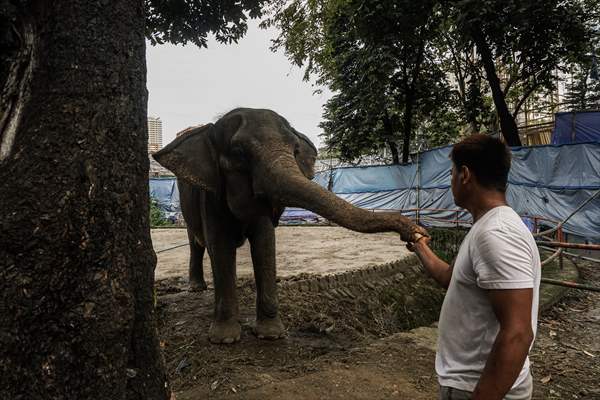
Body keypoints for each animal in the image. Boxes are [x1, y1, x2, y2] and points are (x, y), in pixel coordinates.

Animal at [154, 107, 426, 344]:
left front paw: (271, 335)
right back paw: (197, 288)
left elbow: (264, 243)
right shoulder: (211, 196)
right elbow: (221, 247)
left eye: (295, 150)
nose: (417, 234)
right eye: (239, 152)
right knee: (197, 243)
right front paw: (225, 340)